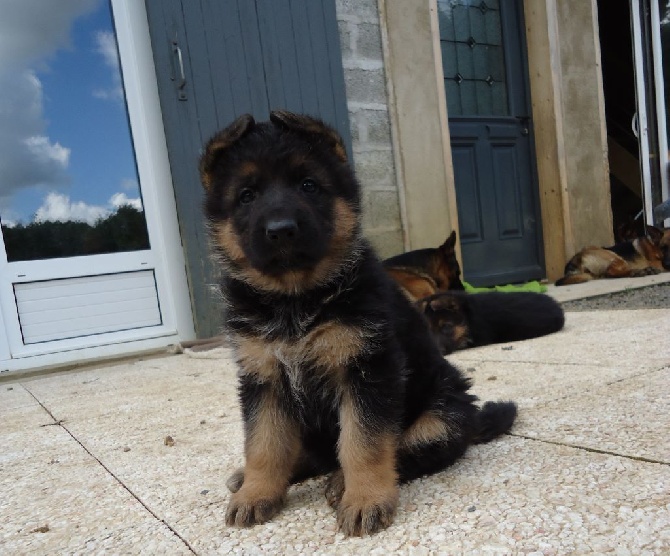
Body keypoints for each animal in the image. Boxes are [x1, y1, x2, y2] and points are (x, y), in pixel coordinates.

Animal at [202, 111, 516, 536]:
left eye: (308, 185)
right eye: (247, 195)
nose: (281, 229)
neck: (295, 299)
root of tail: (472, 422)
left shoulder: (367, 371)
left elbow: (363, 444)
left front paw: (365, 498)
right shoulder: (263, 378)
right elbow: (265, 444)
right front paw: (257, 492)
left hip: (444, 411)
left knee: (411, 450)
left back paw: (341, 482)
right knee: (305, 452)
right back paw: (257, 478)